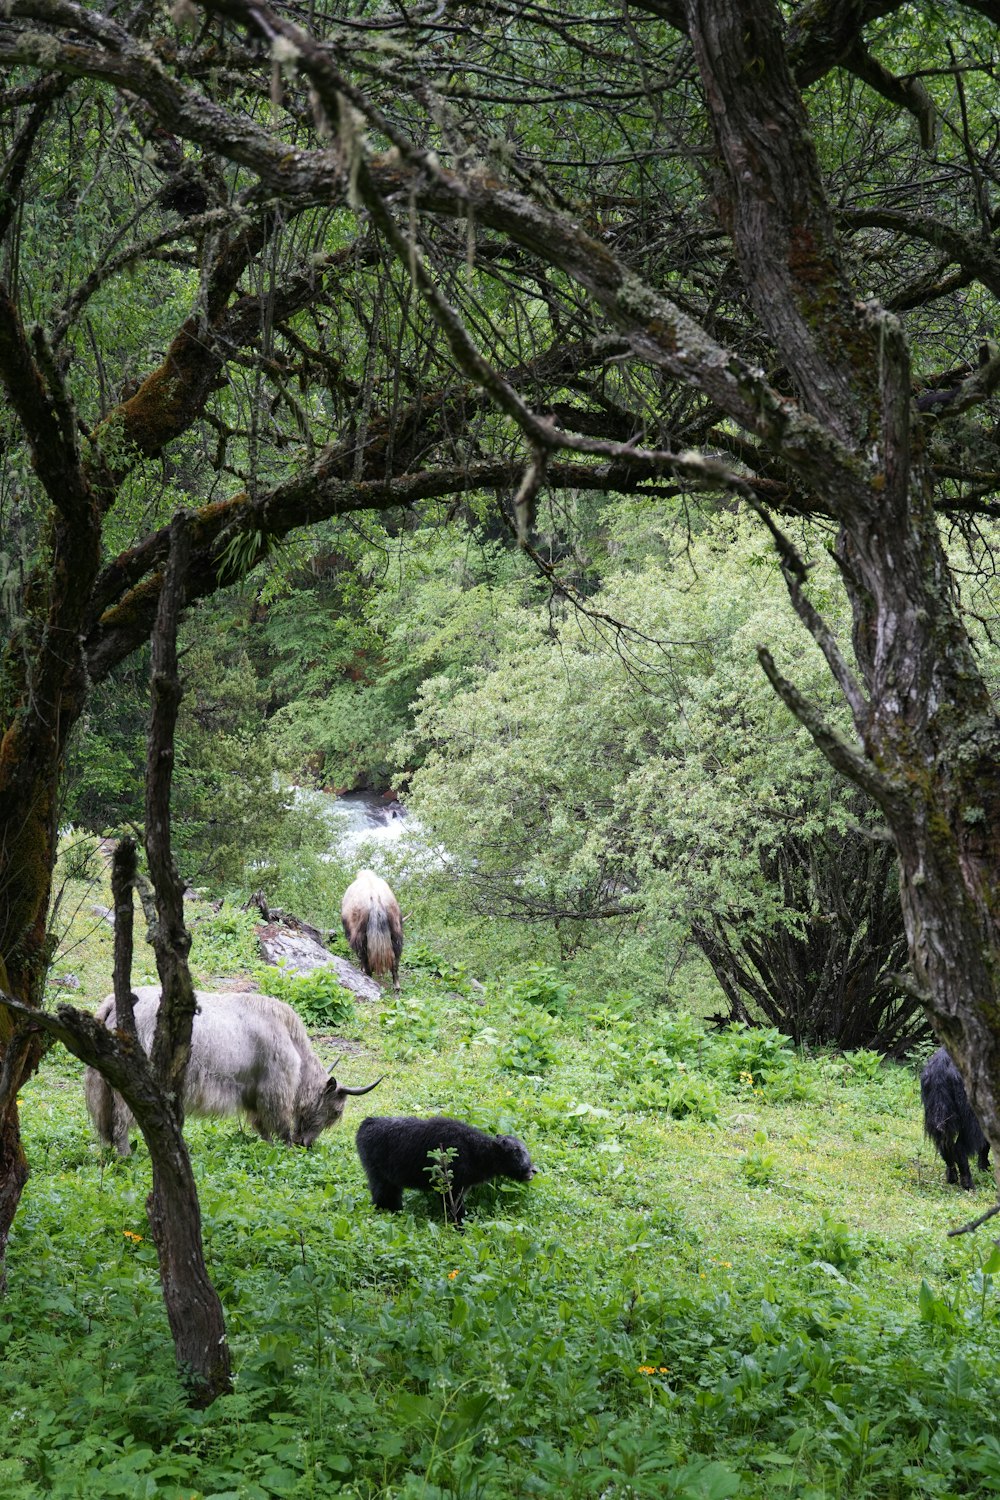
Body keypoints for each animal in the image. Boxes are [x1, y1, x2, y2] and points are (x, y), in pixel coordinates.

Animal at [355, 1122, 536, 1224]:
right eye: (516, 1151)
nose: (533, 1170)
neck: (473, 1150)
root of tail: (367, 1123)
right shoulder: (451, 1190)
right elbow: (457, 1213)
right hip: (380, 1179)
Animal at [923, 1050, 995, 1188]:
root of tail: (942, 1065)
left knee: (945, 1145)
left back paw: (952, 1177)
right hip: (972, 1119)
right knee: (960, 1148)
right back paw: (968, 1183)